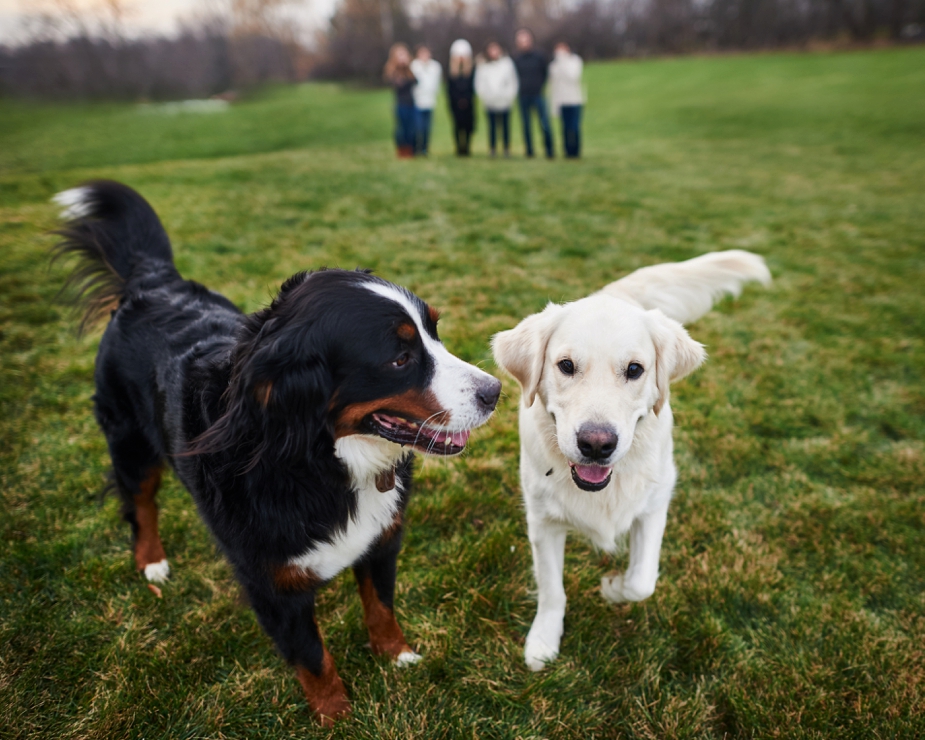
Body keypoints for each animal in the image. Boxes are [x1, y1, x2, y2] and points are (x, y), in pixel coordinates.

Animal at [52, 182, 498, 724]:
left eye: (435, 331)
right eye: (400, 358)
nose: (496, 391)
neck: (321, 460)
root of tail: (153, 284)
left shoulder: (381, 540)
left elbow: (381, 607)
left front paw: (398, 656)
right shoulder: (271, 583)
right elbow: (313, 656)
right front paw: (336, 715)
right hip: (130, 441)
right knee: (140, 501)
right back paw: (152, 561)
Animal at [494, 249, 768, 672]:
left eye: (635, 369)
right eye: (566, 365)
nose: (596, 444)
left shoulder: (655, 505)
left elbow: (642, 582)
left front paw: (613, 588)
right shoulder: (542, 522)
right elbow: (552, 589)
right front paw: (543, 639)